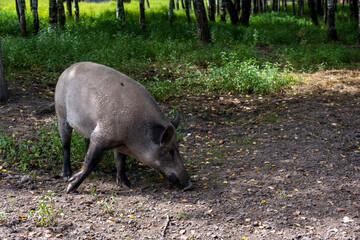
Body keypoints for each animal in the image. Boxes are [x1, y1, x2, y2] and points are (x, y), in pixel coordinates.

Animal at [53, 62, 193, 193]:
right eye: (169, 150)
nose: (189, 185)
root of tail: (68, 69)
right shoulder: (101, 136)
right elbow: (90, 163)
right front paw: (70, 188)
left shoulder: (117, 143)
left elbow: (120, 161)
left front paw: (127, 185)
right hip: (61, 114)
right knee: (66, 145)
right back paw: (66, 175)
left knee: (86, 141)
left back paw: (95, 173)